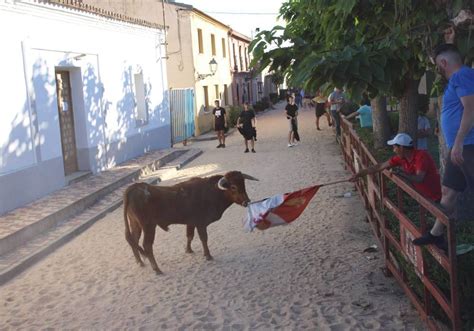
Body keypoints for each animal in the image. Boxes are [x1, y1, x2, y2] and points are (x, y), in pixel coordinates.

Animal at [122, 171, 256, 274]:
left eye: (243, 184)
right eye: (233, 187)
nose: (247, 201)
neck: (211, 192)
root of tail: (133, 188)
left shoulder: (191, 223)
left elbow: (190, 236)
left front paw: (189, 250)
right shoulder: (201, 223)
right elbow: (203, 239)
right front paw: (208, 255)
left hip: (135, 224)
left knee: (133, 240)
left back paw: (140, 262)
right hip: (149, 226)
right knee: (147, 245)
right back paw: (157, 269)